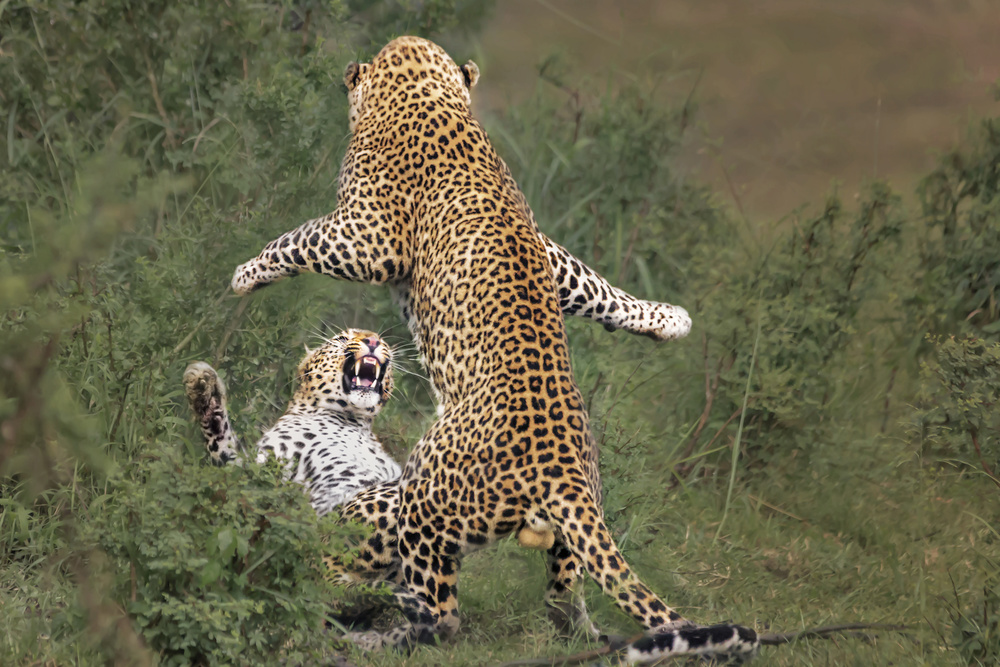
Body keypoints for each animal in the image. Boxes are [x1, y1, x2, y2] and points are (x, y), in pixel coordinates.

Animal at [230, 36, 758, 663]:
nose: (673, 321)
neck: (426, 93)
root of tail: (559, 468)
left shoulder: (367, 237)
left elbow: (298, 238)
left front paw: (245, 274)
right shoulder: (548, 252)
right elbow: (592, 285)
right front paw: (668, 320)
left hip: (422, 502)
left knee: (439, 612)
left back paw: (353, 619)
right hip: (573, 520)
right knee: (563, 588)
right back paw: (582, 634)